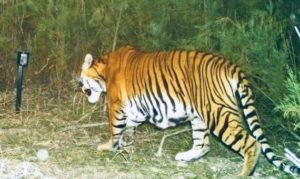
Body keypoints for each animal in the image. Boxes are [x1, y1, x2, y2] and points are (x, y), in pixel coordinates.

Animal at [78, 45, 298, 176]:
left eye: (82, 81)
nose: (80, 87)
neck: (104, 71)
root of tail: (229, 65)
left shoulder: (116, 106)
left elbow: (115, 129)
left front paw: (108, 146)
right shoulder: (135, 110)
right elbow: (128, 128)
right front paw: (126, 143)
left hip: (218, 113)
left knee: (251, 143)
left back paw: (244, 174)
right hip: (200, 116)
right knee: (203, 144)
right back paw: (185, 156)